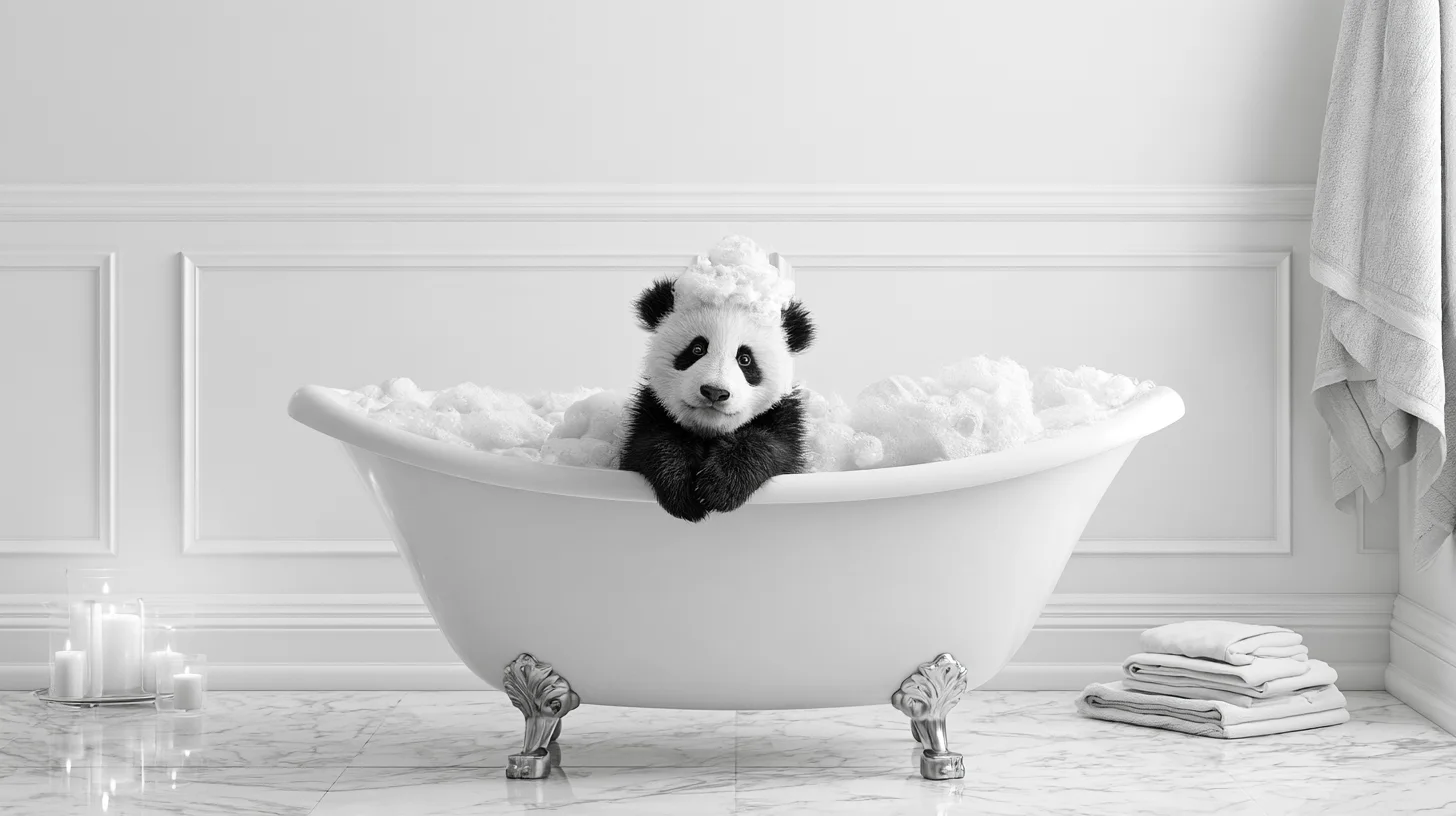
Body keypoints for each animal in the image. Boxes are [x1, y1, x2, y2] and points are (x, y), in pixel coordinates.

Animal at [619, 237, 816, 522]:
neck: (710, 429)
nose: (714, 392)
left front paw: (719, 487)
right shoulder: (649, 410)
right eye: (697, 349)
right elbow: (653, 444)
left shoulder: (785, 420)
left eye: (745, 359)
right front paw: (682, 490)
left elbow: (771, 447)